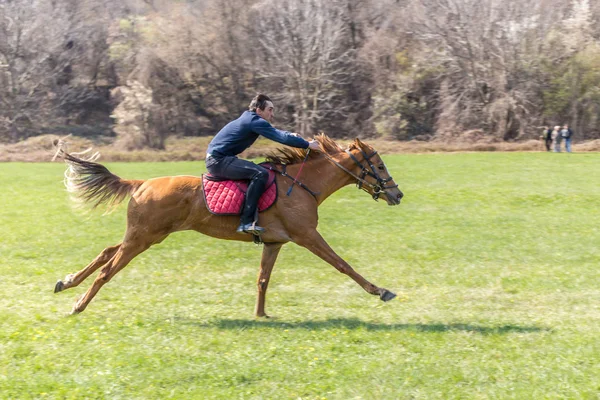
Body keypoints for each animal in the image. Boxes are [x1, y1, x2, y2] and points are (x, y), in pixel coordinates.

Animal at [54, 134, 406, 316]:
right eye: (378, 165)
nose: (397, 194)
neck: (303, 184)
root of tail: (140, 183)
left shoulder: (275, 242)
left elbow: (263, 279)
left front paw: (261, 315)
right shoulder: (307, 235)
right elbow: (343, 265)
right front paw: (380, 290)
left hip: (144, 235)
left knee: (106, 251)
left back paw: (67, 281)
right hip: (143, 238)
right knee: (107, 269)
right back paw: (78, 304)